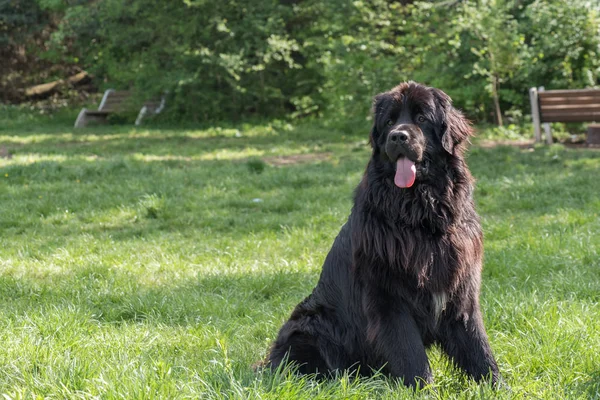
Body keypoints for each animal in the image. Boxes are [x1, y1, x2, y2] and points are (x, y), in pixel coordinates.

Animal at [264, 82, 500, 388]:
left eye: (421, 118)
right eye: (389, 122)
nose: (398, 136)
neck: (422, 215)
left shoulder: (461, 289)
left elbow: (477, 345)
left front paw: (498, 386)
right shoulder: (388, 297)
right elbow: (411, 354)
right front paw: (424, 389)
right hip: (308, 326)